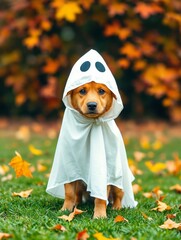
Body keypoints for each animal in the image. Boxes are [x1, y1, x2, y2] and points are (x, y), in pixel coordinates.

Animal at [60, 81, 124, 218]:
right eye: (82, 91)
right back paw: (76, 204)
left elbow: (100, 198)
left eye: (101, 91)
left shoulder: (104, 172)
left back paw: (117, 207)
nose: (92, 105)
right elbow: (69, 193)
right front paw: (65, 210)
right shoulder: (69, 168)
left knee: (118, 195)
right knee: (77, 194)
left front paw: (99, 215)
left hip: (117, 182)